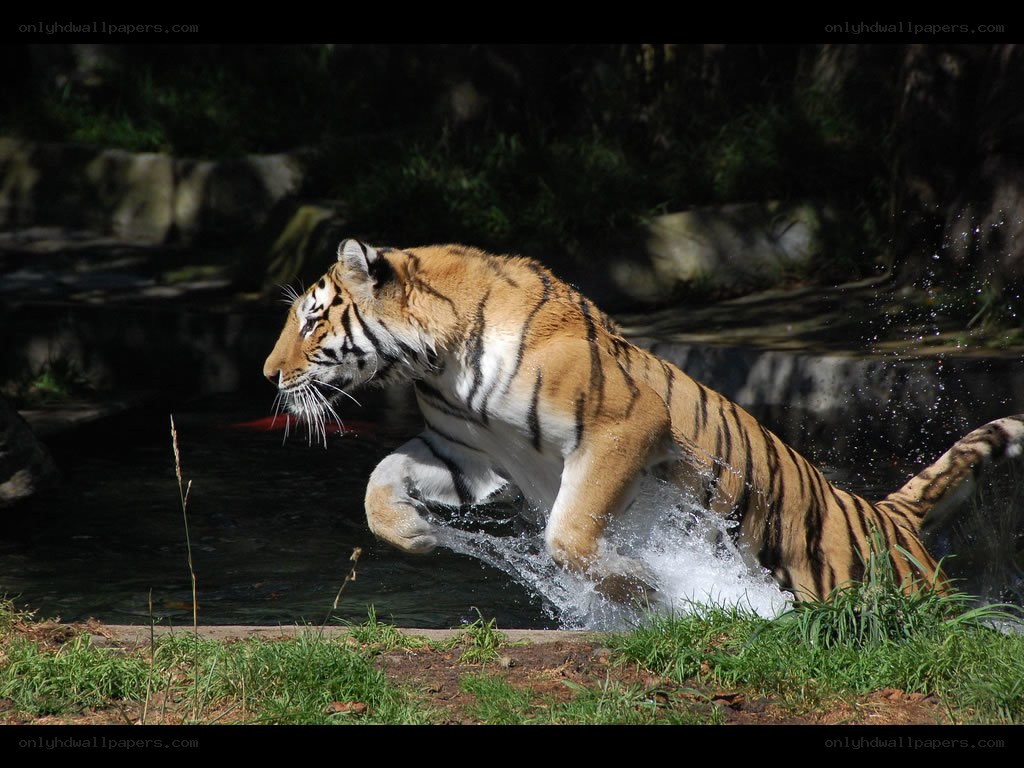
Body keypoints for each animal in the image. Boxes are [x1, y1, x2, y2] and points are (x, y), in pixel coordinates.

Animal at [263, 238, 1024, 604]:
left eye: (312, 319)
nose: (269, 375)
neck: (437, 362)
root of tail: (890, 515)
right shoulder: (465, 451)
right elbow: (377, 483)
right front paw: (417, 534)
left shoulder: (623, 427)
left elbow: (569, 536)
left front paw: (646, 590)